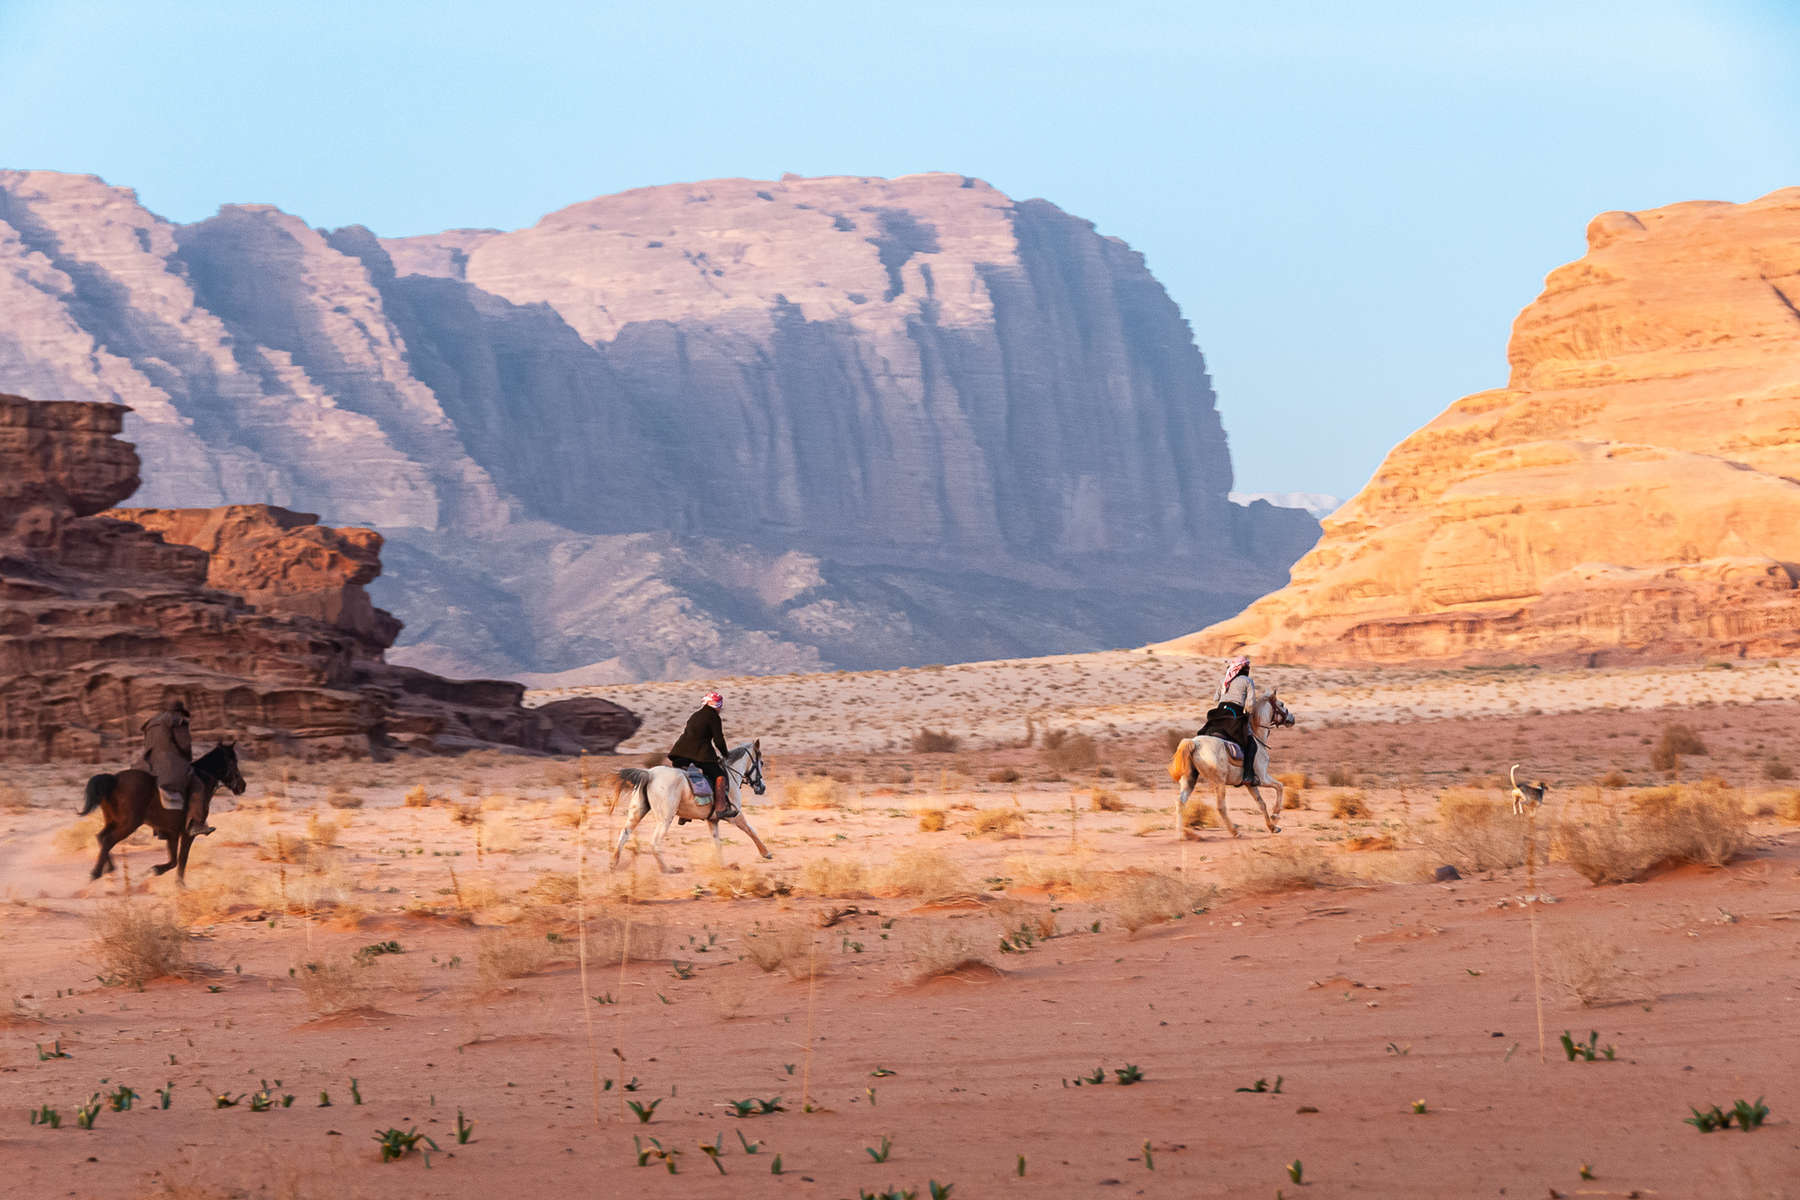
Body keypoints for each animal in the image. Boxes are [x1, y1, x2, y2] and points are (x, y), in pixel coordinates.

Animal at [80, 744, 244, 888]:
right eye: (233, 762)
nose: (242, 786)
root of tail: (114, 779)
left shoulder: (171, 833)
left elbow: (174, 861)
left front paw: (158, 871)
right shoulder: (187, 834)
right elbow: (182, 860)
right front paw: (179, 884)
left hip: (114, 821)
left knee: (101, 837)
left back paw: (108, 869)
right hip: (128, 824)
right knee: (108, 840)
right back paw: (96, 873)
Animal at [608, 741, 770, 874]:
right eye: (761, 762)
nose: (762, 788)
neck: (730, 775)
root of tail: (649, 773)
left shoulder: (713, 820)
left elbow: (717, 843)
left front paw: (723, 866)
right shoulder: (735, 815)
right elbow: (750, 830)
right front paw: (766, 853)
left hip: (637, 812)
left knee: (625, 833)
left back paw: (614, 863)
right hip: (665, 819)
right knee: (654, 843)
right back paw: (667, 869)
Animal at [1166, 690, 1296, 841]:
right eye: (1281, 704)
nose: (1292, 718)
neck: (1257, 737)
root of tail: (1195, 743)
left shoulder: (1250, 783)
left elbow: (1261, 803)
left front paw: (1272, 827)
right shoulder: (1263, 778)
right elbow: (1280, 786)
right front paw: (1275, 815)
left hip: (1190, 780)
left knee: (1180, 802)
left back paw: (1181, 834)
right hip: (1219, 782)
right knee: (1221, 807)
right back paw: (1235, 832)